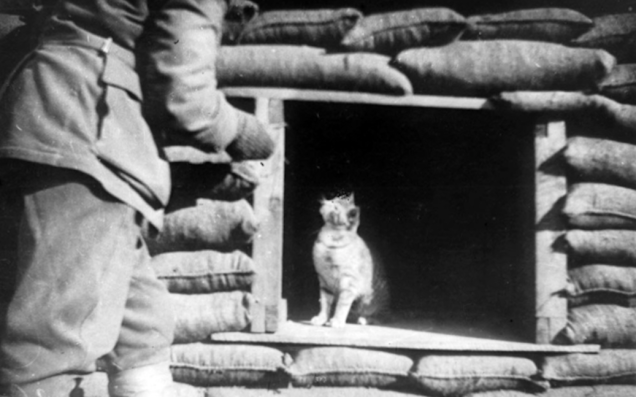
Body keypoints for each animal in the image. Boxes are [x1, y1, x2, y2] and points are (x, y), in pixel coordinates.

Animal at [308, 193, 388, 328]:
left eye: (335, 207)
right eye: (333, 199)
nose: (326, 201)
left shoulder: (349, 283)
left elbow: (342, 305)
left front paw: (337, 320)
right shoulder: (324, 281)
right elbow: (324, 302)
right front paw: (322, 318)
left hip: (369, 301)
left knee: (379, 317)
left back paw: (364, 319)